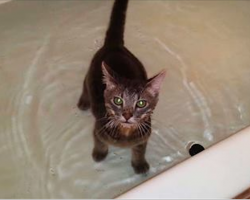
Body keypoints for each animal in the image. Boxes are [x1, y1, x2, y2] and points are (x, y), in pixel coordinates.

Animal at [77, 0, 165, 173]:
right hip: (91, 73)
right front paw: (99, 153)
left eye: (141, 103)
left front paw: (139, 164)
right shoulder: (98, 130)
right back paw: (84, 101)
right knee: (85, 83)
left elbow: (139, 151)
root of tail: (115, 45)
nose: (127, 115)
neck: (126, 133)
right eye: (118, 100)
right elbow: (100, 143)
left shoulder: (143, 138)